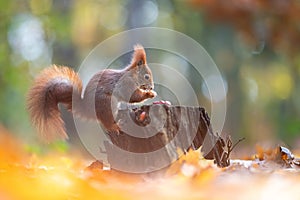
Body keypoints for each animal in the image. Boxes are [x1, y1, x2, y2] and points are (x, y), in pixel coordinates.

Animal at [27, 45, 157, 142]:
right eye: (146, 76)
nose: (151, 87)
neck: (132, 75)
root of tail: (88, 109)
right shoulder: (126, 84)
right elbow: (133, 96)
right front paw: (150, 94)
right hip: (106, 103)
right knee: (106, 122)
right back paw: (115, 126)